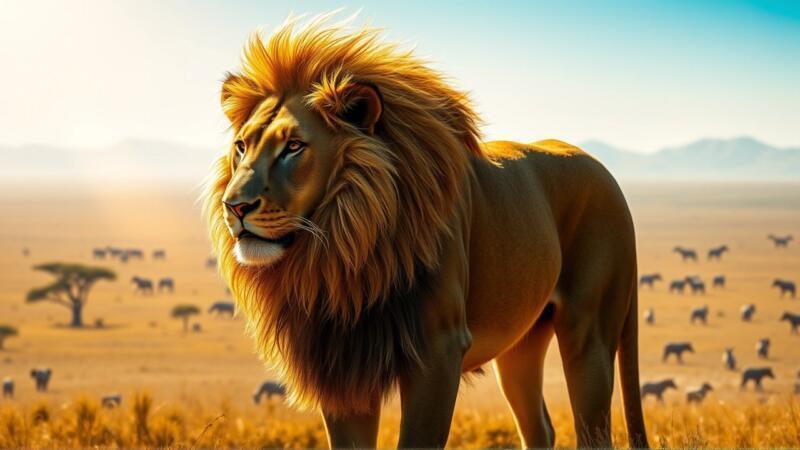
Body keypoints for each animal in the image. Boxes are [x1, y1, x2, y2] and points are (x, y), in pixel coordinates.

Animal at [204, 14, 648, 449]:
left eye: (294, 147)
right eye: (241, 146)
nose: (235, 206)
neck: (341, 256)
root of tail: (604, 170)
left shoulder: (439, 350)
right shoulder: (342, 366)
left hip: (587, 334)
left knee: (594, 431)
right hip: (521, 343)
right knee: (540, 427)